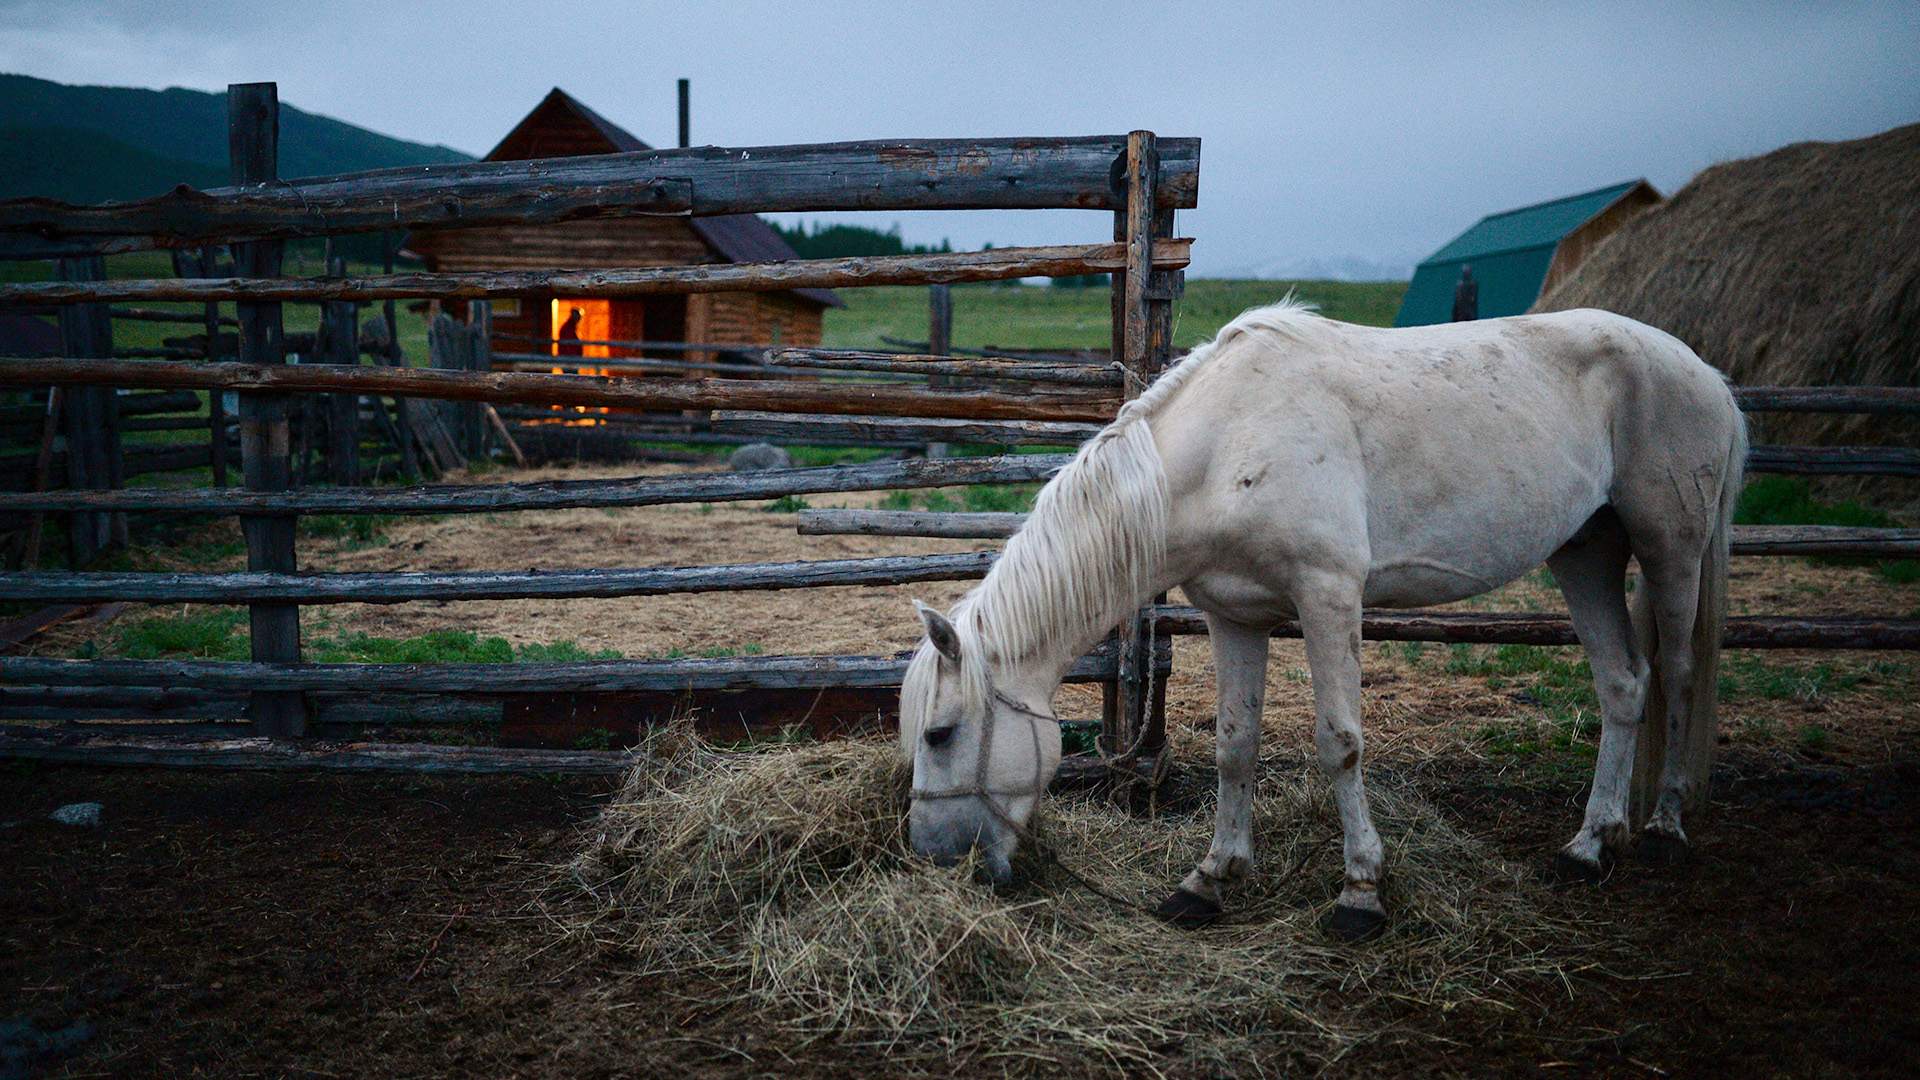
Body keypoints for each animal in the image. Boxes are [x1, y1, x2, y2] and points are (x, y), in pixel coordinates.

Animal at [898, 297, 1743, 937]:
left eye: (940, 734)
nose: (934, 861)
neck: (1224, 446)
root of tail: (1704, 372)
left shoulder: (1329, 596)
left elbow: (1340, 743)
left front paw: (1360, 893)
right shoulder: (1232, 615)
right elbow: (1235, 745)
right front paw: (1209, 881)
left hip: (1670, 547)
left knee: (1678, 674)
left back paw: (1663, 830)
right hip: (1585, 551)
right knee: (1624, 685)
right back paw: (1588, 846)